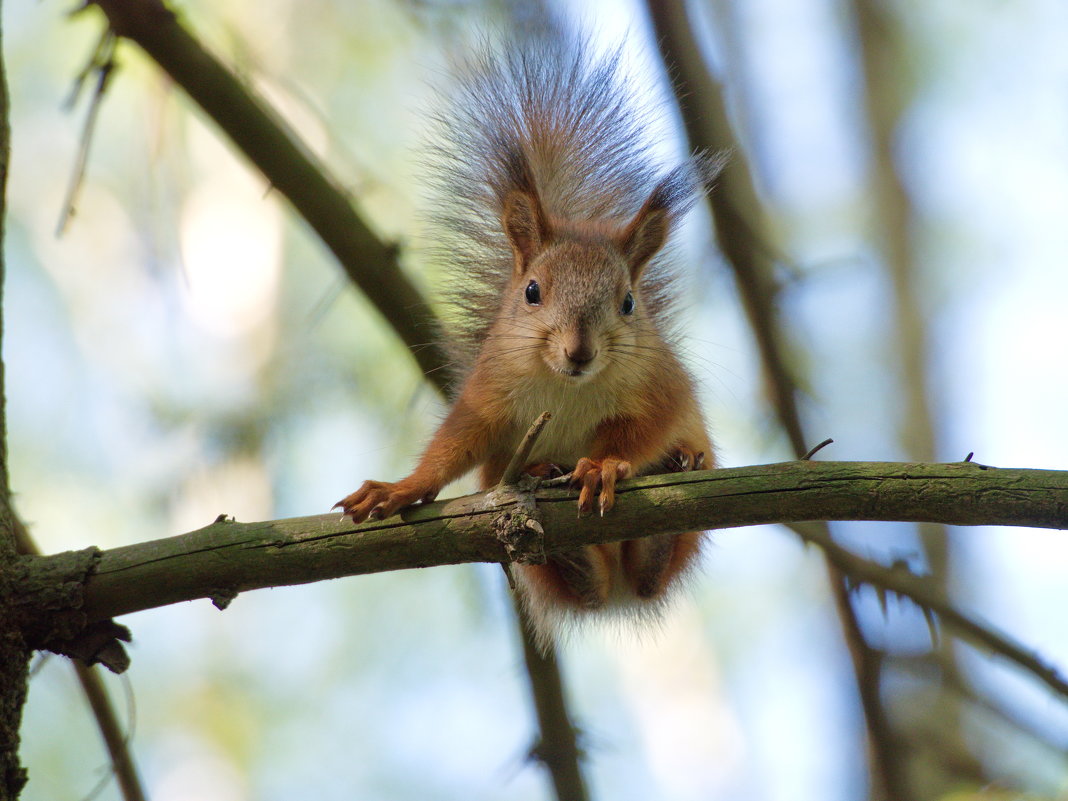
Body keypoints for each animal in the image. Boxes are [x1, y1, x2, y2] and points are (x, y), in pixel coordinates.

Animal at [333, 32, 717, 632]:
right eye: (532, 292)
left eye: (629, 303)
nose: (579, 352)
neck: (568, 388)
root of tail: (617, 595)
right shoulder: (488, 394)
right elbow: (455, 443)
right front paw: (400, 488)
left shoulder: (660, 385)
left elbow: (645, 426)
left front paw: (602, 464)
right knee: (580, 577)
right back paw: (550, 495)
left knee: (654, 570)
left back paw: (677, 475)